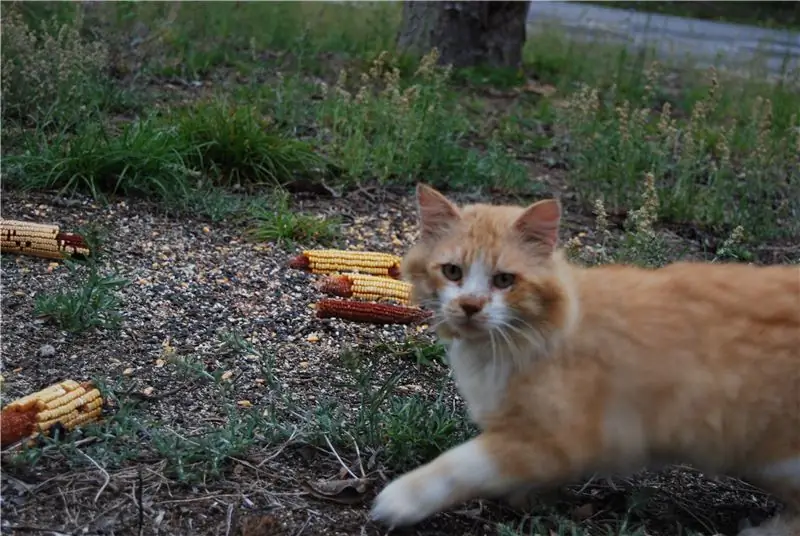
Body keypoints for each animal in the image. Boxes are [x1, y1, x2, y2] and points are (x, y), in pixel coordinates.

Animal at [368, 184, 800, 536]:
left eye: (504, 280)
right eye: (453, 272)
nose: (470, 306)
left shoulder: (557, 438)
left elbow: (459, 464)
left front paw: (400, 499)